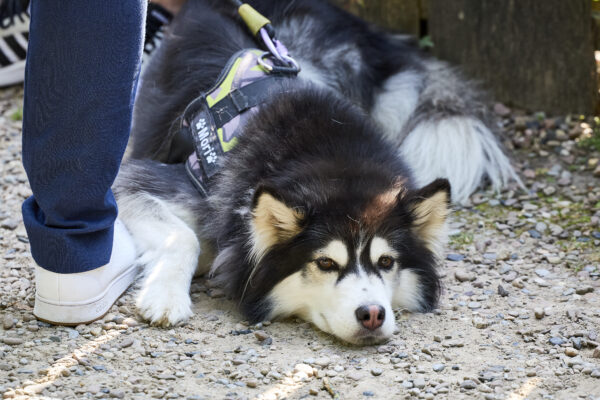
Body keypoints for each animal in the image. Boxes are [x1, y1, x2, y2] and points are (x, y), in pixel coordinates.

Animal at [113, 0, 520, 344]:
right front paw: (165, 296)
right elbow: (185, 237)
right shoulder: (140, 180)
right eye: (325, 263)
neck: (328, 159)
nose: (372, 314)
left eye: (386, 262)